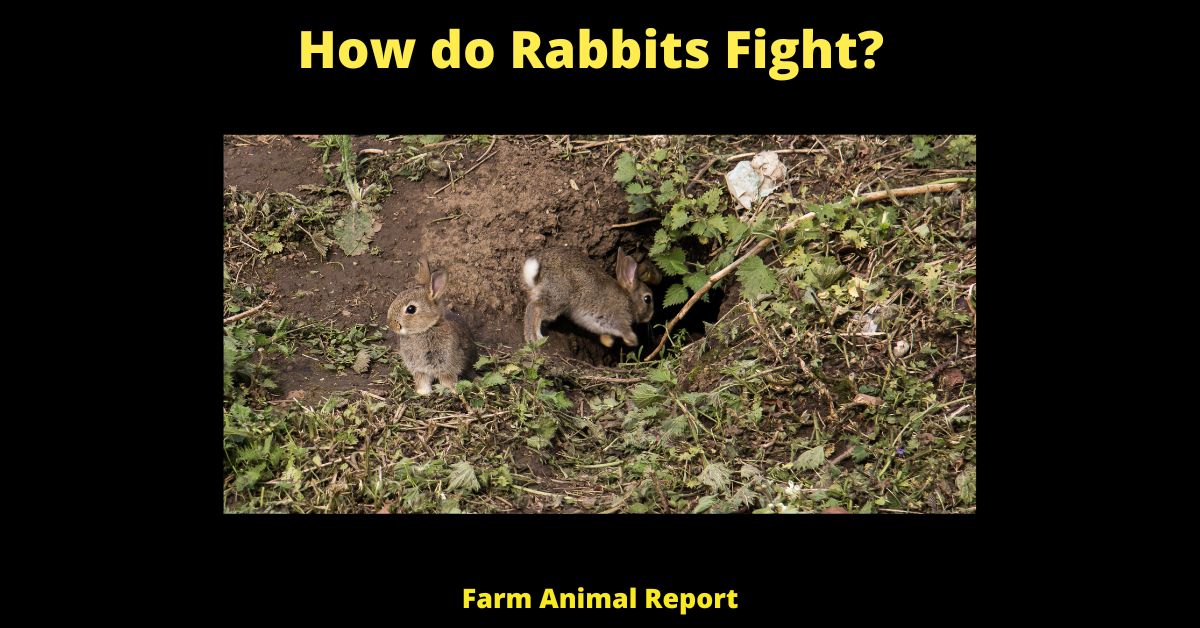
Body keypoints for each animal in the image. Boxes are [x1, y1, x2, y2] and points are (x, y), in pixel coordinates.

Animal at [386, 258, 477, 395]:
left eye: (411, 309)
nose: (391, 324)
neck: (425, 329)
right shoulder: (419, 370)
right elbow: (422, 382)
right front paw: (422, 393)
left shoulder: (447, 367)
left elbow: (448, 381)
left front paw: (453, 391)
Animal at [522, 247, 654, 348]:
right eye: (647, 299)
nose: (649, 317)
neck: (629, 299)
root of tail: (540, 275)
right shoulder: (617, 316)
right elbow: (623, 329)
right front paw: (633, 340)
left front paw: (609, 342)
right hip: (558, 298)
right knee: (534, 308)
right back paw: (536, 339)